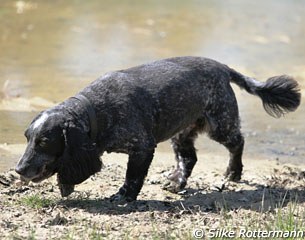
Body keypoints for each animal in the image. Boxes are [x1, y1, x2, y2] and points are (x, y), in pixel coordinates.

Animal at [14, 56, 300, 201]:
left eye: (44, 141)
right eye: (27, 137)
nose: (18, 169)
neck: (99, 109)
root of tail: (221, 67)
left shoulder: (142, 147)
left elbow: (132, 177)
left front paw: (124, 197)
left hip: (221, 125)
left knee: (238, 142)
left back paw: (233, 173)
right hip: (182, 133)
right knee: (189, 158)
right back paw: (177, 181)